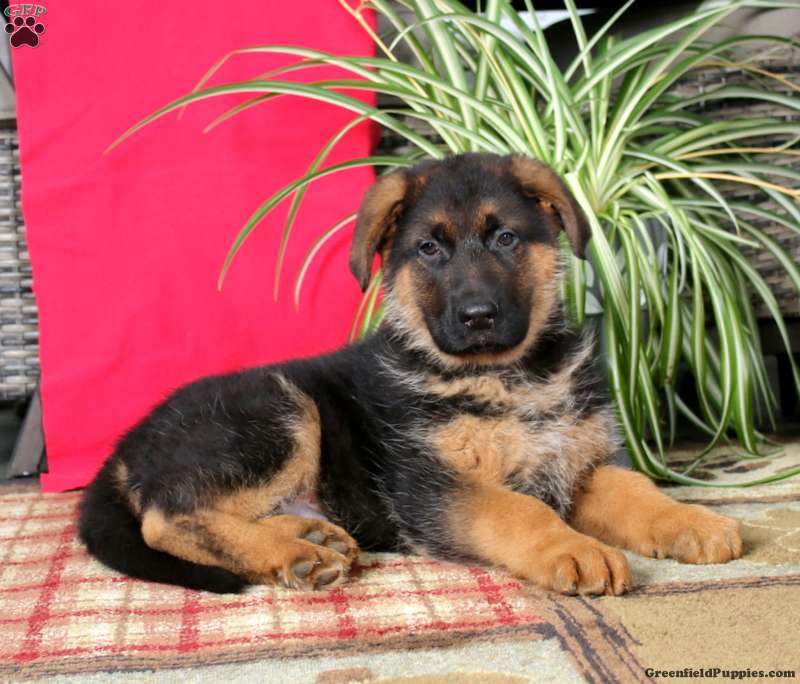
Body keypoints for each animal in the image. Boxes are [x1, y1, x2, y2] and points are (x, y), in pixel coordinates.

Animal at [79, 153, 742, 596]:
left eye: (505, 238)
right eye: (429, 249)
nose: (477, 316)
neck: (504, 374)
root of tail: (124, 448)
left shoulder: (575, 464)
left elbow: (638, 491)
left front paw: (693, 521)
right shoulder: (437, 484)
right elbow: (521, 512)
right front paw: (574, 549)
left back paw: (310, 538)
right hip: (277, 408)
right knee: (166, 516)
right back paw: (291, 554)